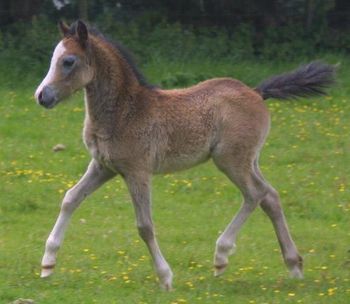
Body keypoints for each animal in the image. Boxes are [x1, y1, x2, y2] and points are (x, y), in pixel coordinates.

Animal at [34, 21, 334, 290]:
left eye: (69, 61)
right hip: (250, 160)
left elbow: (144, 225)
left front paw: (165, 277)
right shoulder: (103, 166)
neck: (123, 110)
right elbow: (70, 198)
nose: (41, 96)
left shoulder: (137, 172)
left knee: (255, 194)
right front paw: (48, 264)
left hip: (231, 160)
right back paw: (293, 265)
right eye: (52, 59)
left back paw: (222, 255)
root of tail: (257, 92)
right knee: (270, 196)